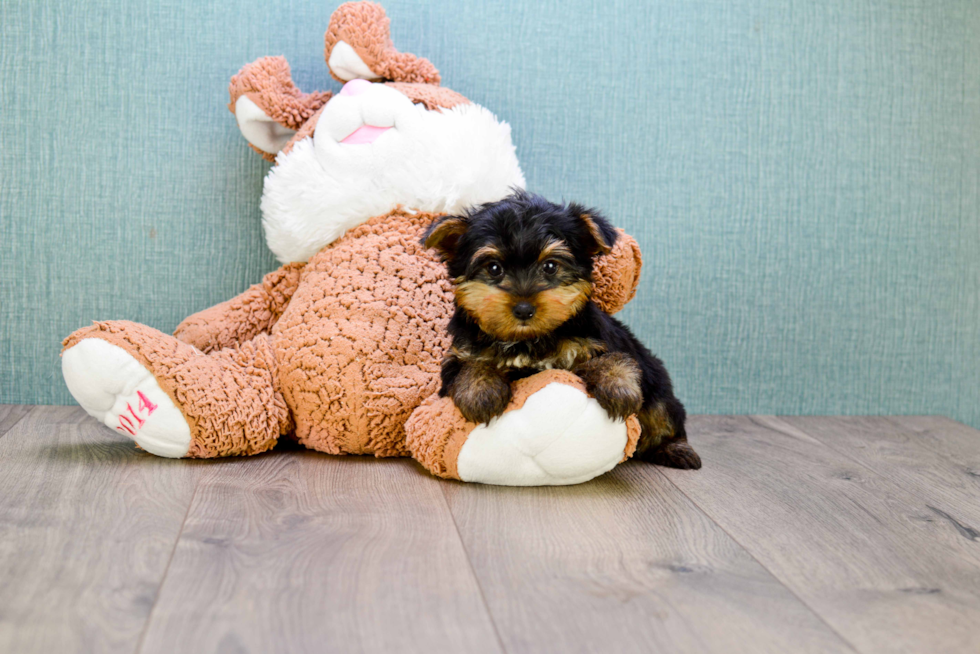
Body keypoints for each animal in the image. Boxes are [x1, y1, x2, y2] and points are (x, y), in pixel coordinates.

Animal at [424, 190, 700, 472]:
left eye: (550, 266)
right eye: (493, 268)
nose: (524, 309)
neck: (528, 340)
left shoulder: (597, 341)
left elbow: (614, 358)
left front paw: (618, 388)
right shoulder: (460, 353)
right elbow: (470, 366)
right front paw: (481, 393)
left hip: (657, 383)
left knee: (664, 414)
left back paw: (676, 449)